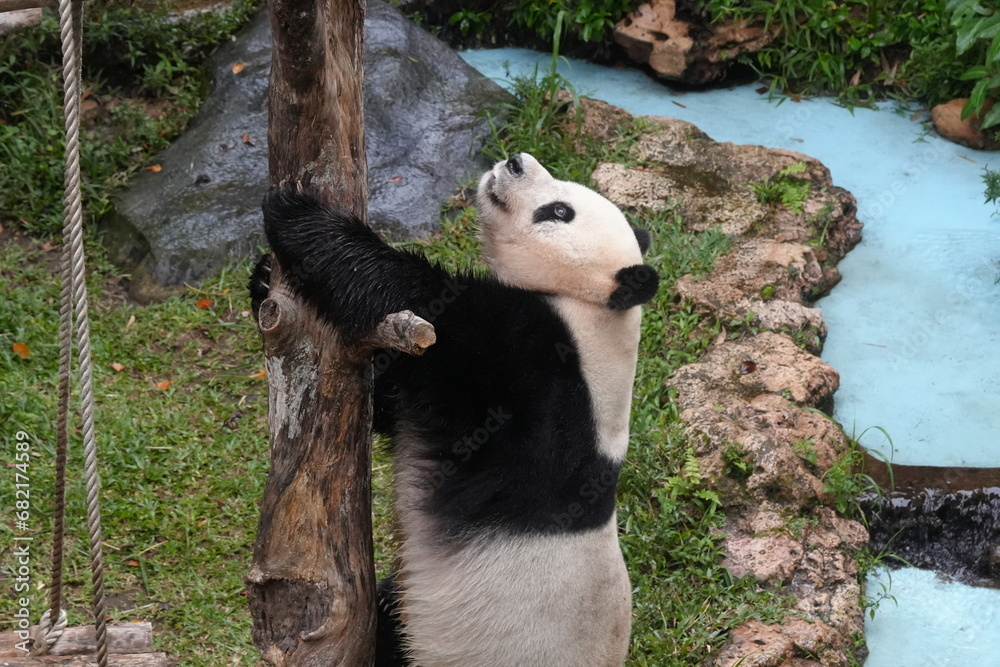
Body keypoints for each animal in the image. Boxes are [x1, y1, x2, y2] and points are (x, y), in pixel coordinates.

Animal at [250, 152, 659, 667]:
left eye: (560, 212)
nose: (515, 161)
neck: (592, 308)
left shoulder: (539, 372)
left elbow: (424, 303)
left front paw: (298, 217)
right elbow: (392, 394)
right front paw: (264, 278)